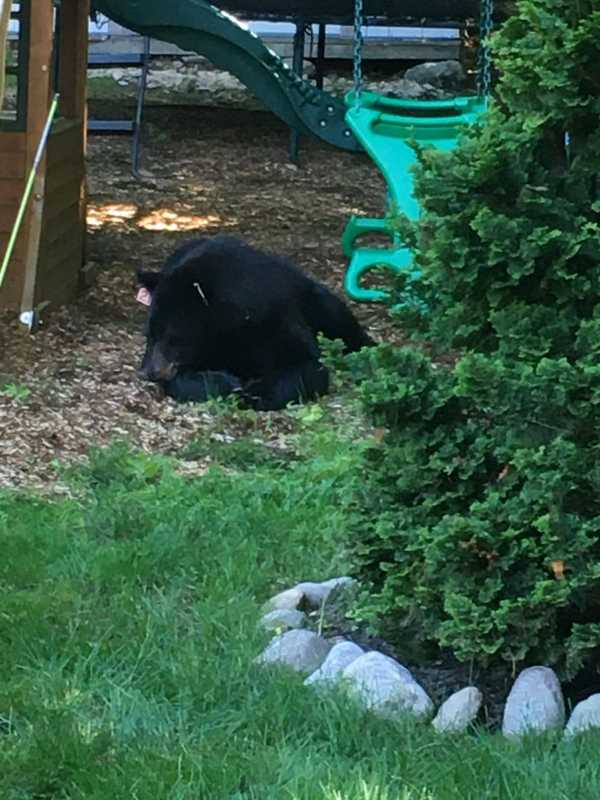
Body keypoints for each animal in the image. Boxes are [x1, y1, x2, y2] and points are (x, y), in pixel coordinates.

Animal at [136, 233, 370, 410]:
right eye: (150, 334)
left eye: (171, 336)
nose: (148, 372)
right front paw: (229, 384)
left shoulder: (272, 318)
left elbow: (306, 364)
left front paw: (255, 392)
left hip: (313, 299)